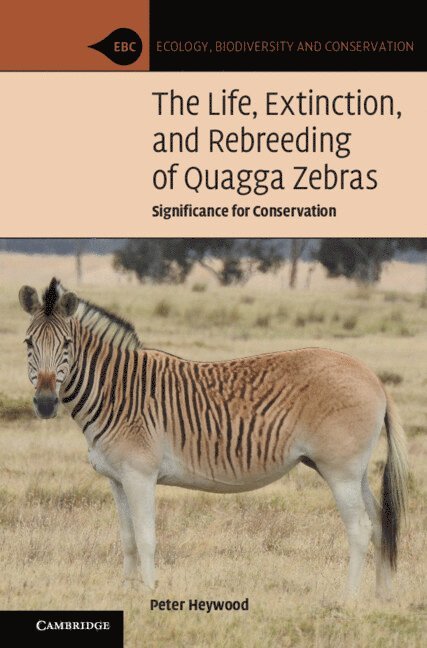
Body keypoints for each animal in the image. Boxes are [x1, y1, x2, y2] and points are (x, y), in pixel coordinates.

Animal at [19, 277, 408, 599]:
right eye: (28, 343)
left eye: (67, 344)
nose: (45, 403)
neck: (117, 393)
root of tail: (373, 377)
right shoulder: (116, 479)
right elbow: (127, 539)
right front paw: (126, 593)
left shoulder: (139, 475)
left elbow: (145, 538)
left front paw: (149, 592)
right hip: (354, 471)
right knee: (379, 523)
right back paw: (382, 597)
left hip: (340, 470)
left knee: (359, 528)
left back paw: (348, 599)